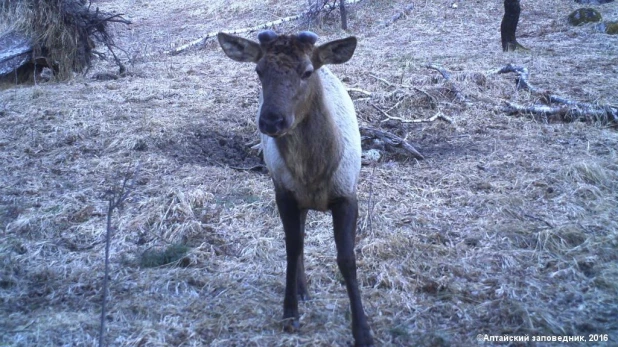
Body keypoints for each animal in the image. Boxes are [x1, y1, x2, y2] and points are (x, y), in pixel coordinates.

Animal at [215, 30, 370, 347]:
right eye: (259, 70)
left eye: (307, 71)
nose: (271, 120)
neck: (314, 173)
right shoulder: (284, 193)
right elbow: (291, 247)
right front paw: (290, 314)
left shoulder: (348, 194)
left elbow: (347, 258)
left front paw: (362, 330)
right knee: (298, 238)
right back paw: (301, 290)